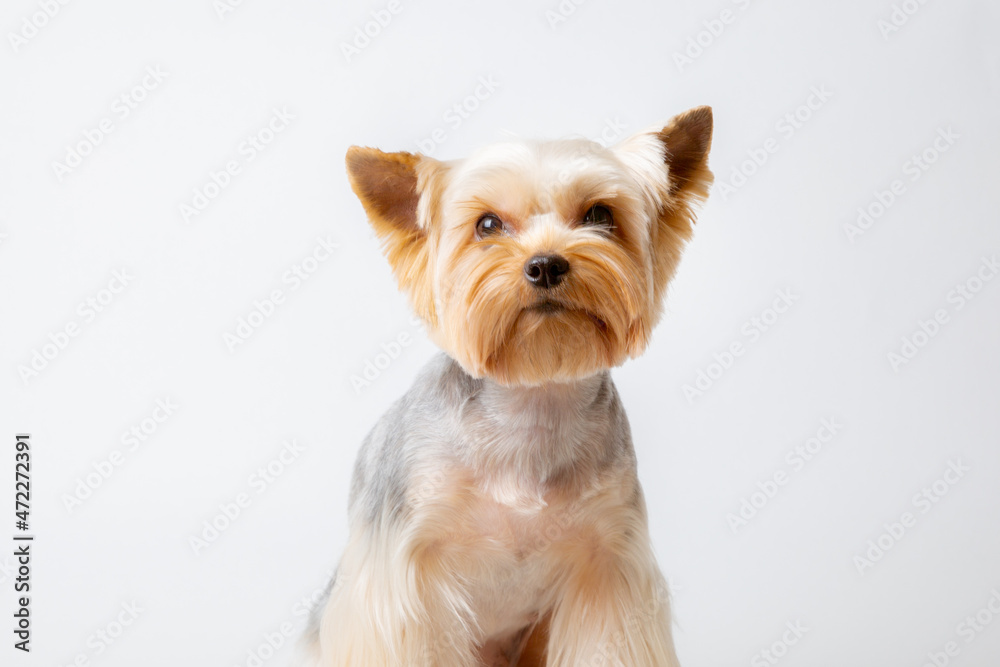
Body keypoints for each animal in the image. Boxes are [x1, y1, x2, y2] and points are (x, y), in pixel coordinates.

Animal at [294, 107, 712, 664]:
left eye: (599, 215)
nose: (546, 264)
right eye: (487, 224)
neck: (531, 401)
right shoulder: (403, 578)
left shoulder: (608, 567)